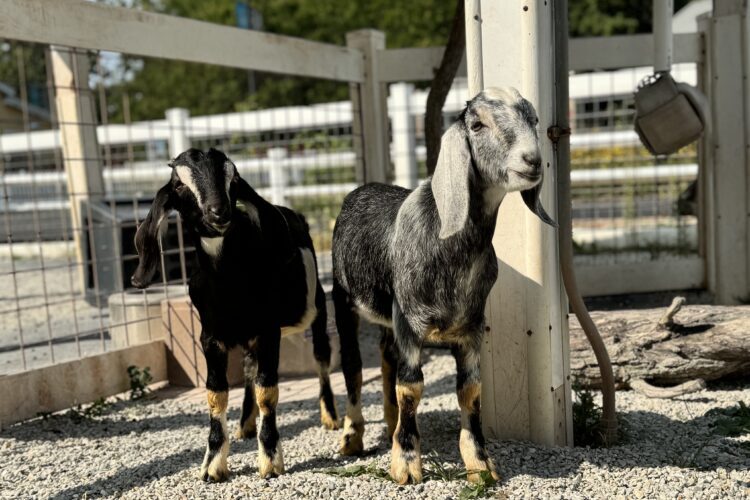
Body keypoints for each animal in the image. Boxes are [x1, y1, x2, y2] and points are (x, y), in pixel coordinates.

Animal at [131, 147, 338, 480]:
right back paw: (245, 424)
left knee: (321, 358)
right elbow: (217, 395)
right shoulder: (211, 338)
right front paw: (213, 464)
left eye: (234, 178)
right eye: (179, 185)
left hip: (316, 309)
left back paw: (329, 416)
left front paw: (270, 460)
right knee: (248, 369)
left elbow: (268, 391)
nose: (218, 212)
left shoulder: (268, 332)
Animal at [332, 87, 556, 484]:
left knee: (385, 356)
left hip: (389, 316)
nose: (532, 160)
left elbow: (470, 390)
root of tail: (361, 188)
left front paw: (480, 464)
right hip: (343, 301)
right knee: (353, 367)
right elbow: (411, 387)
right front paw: (406, 464)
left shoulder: (471, 329)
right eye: (477, 124)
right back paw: (352, 437)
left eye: (533, 119)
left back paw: (388, 423)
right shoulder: (410, 322)